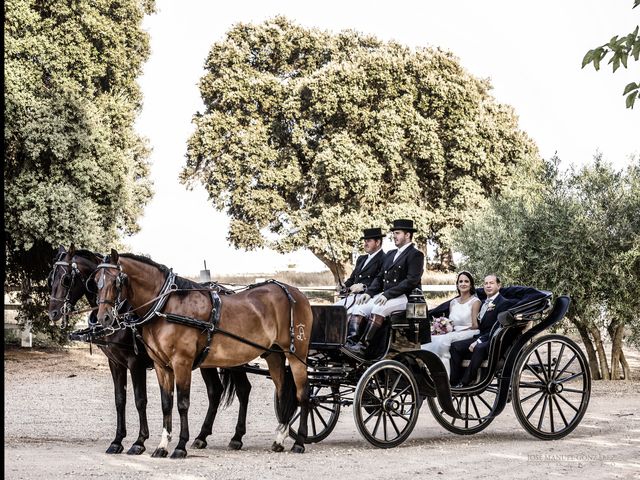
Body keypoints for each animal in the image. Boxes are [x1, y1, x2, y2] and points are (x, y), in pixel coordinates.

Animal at [48, 246, 252, 456]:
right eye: (50, 277)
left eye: (66, 279)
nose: (53, 312)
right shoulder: (115, 363)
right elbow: (120, 400)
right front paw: (117, 441)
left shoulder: (135, 362)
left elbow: (140, 400)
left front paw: (139, 441)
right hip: (207, 361)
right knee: (215, 391)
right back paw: (202, 437)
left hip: (234, 359)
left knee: (243, 390)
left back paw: (237, 437)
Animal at [94, 251, 312, 458]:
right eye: (96, 281)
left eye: (116, 281)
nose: (104, 318)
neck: (165, 305)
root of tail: (295, 292)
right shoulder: (160, 365)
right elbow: (166, 404)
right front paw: (162, 446)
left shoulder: (179, 363)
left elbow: (181, 403)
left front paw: (179, 446)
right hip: (273, 355)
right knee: (280, 391)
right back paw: (278, 438)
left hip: (296, 356)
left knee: (303, 394)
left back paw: (299, 442)